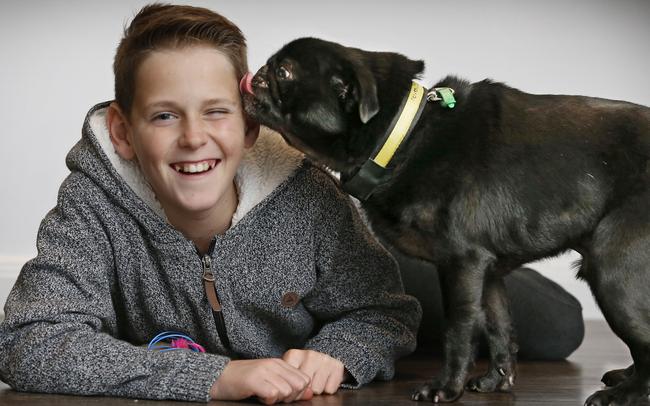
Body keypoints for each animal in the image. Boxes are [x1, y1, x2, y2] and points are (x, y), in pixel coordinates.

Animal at [242, 36, 648, 404]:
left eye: (283, 72)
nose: (255, 73)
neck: (404, 140)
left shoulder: (462, 264)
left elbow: (460, 331)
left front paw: (446, 388)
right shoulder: (489, 272)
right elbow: (498, 328)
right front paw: (496, 381)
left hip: (614, 274)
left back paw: (625, 392)